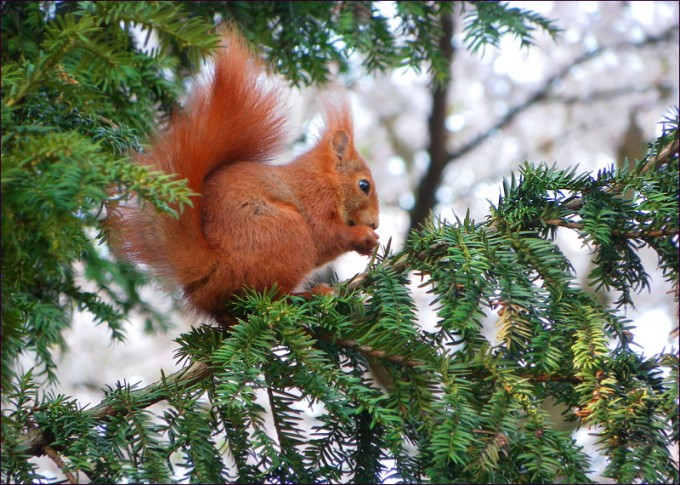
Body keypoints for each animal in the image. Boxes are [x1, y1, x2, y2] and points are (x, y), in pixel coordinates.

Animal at [108, 32, 380, 321]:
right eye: (364, 185)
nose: (375, 224)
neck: (326, 181)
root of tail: (214, 271)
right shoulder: (315, 199)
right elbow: (325, 234)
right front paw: (362, 236)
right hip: (286, 234)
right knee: (271, 296)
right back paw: (310, 295)